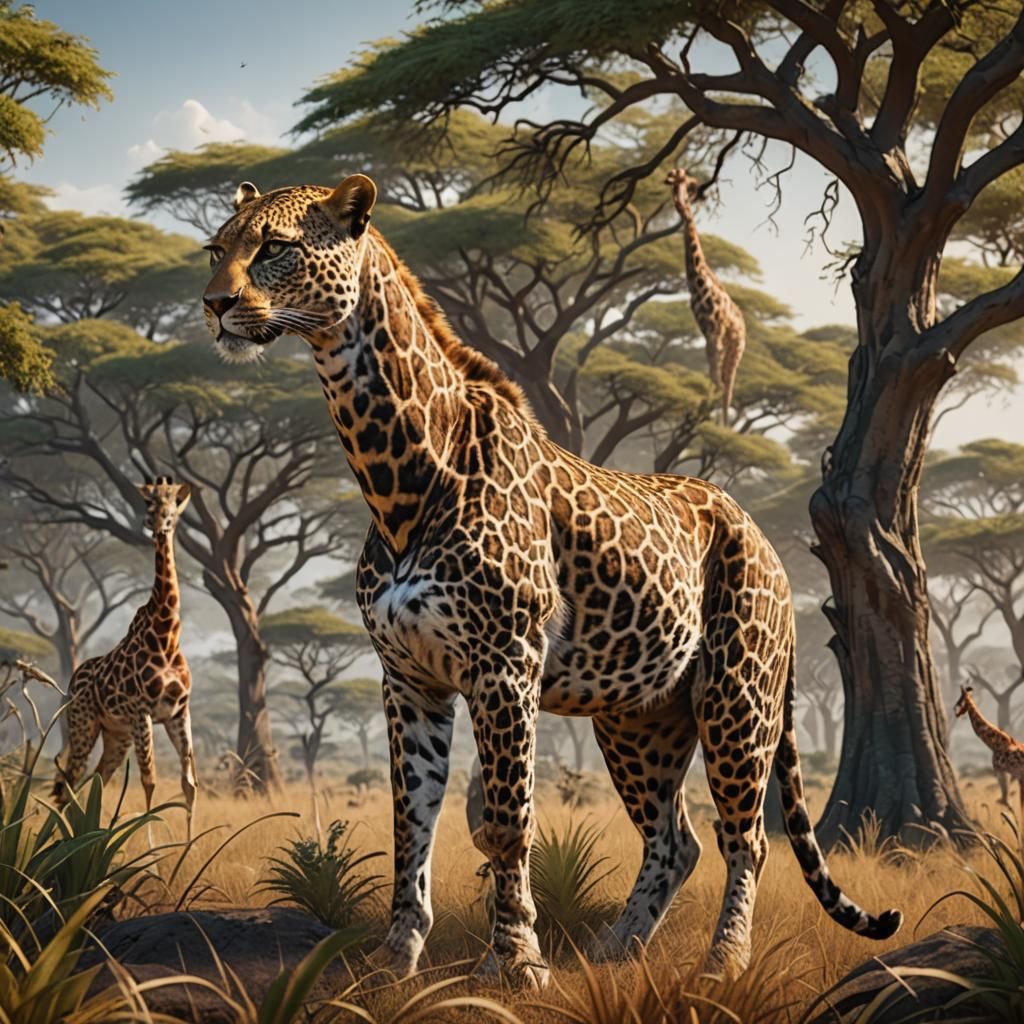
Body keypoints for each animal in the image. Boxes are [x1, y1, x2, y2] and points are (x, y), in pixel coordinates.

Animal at [51, 476, 198, 838]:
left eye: (174, 505)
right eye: (149, 503)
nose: (158, 522)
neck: (167, 635)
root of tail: (71, 682)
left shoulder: (179, 712)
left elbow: (189, 784)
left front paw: (189, 846)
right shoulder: (142, 712)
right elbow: (150, 782)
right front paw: (151, 848)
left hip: (116, 735)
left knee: (95, 779)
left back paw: (85, 833)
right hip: (84, 724)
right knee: (70, 781)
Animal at [666, 167, 747, 424]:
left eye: (687, 178)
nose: (698, 187)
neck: (697, 279)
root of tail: (745, 329)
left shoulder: (715, 334)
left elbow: (717, 382)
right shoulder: (707, 334)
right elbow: (713, 379)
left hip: (735, 348)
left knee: (728, 386)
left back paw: (725, 426)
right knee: (725, 384)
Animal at [954, 685, 1024, 819]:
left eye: (960, 700)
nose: (955, 712)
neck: (995, 744)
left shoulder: (1001, 771)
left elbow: (1008, 801)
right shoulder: (1013, 775)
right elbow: (1007, 801)